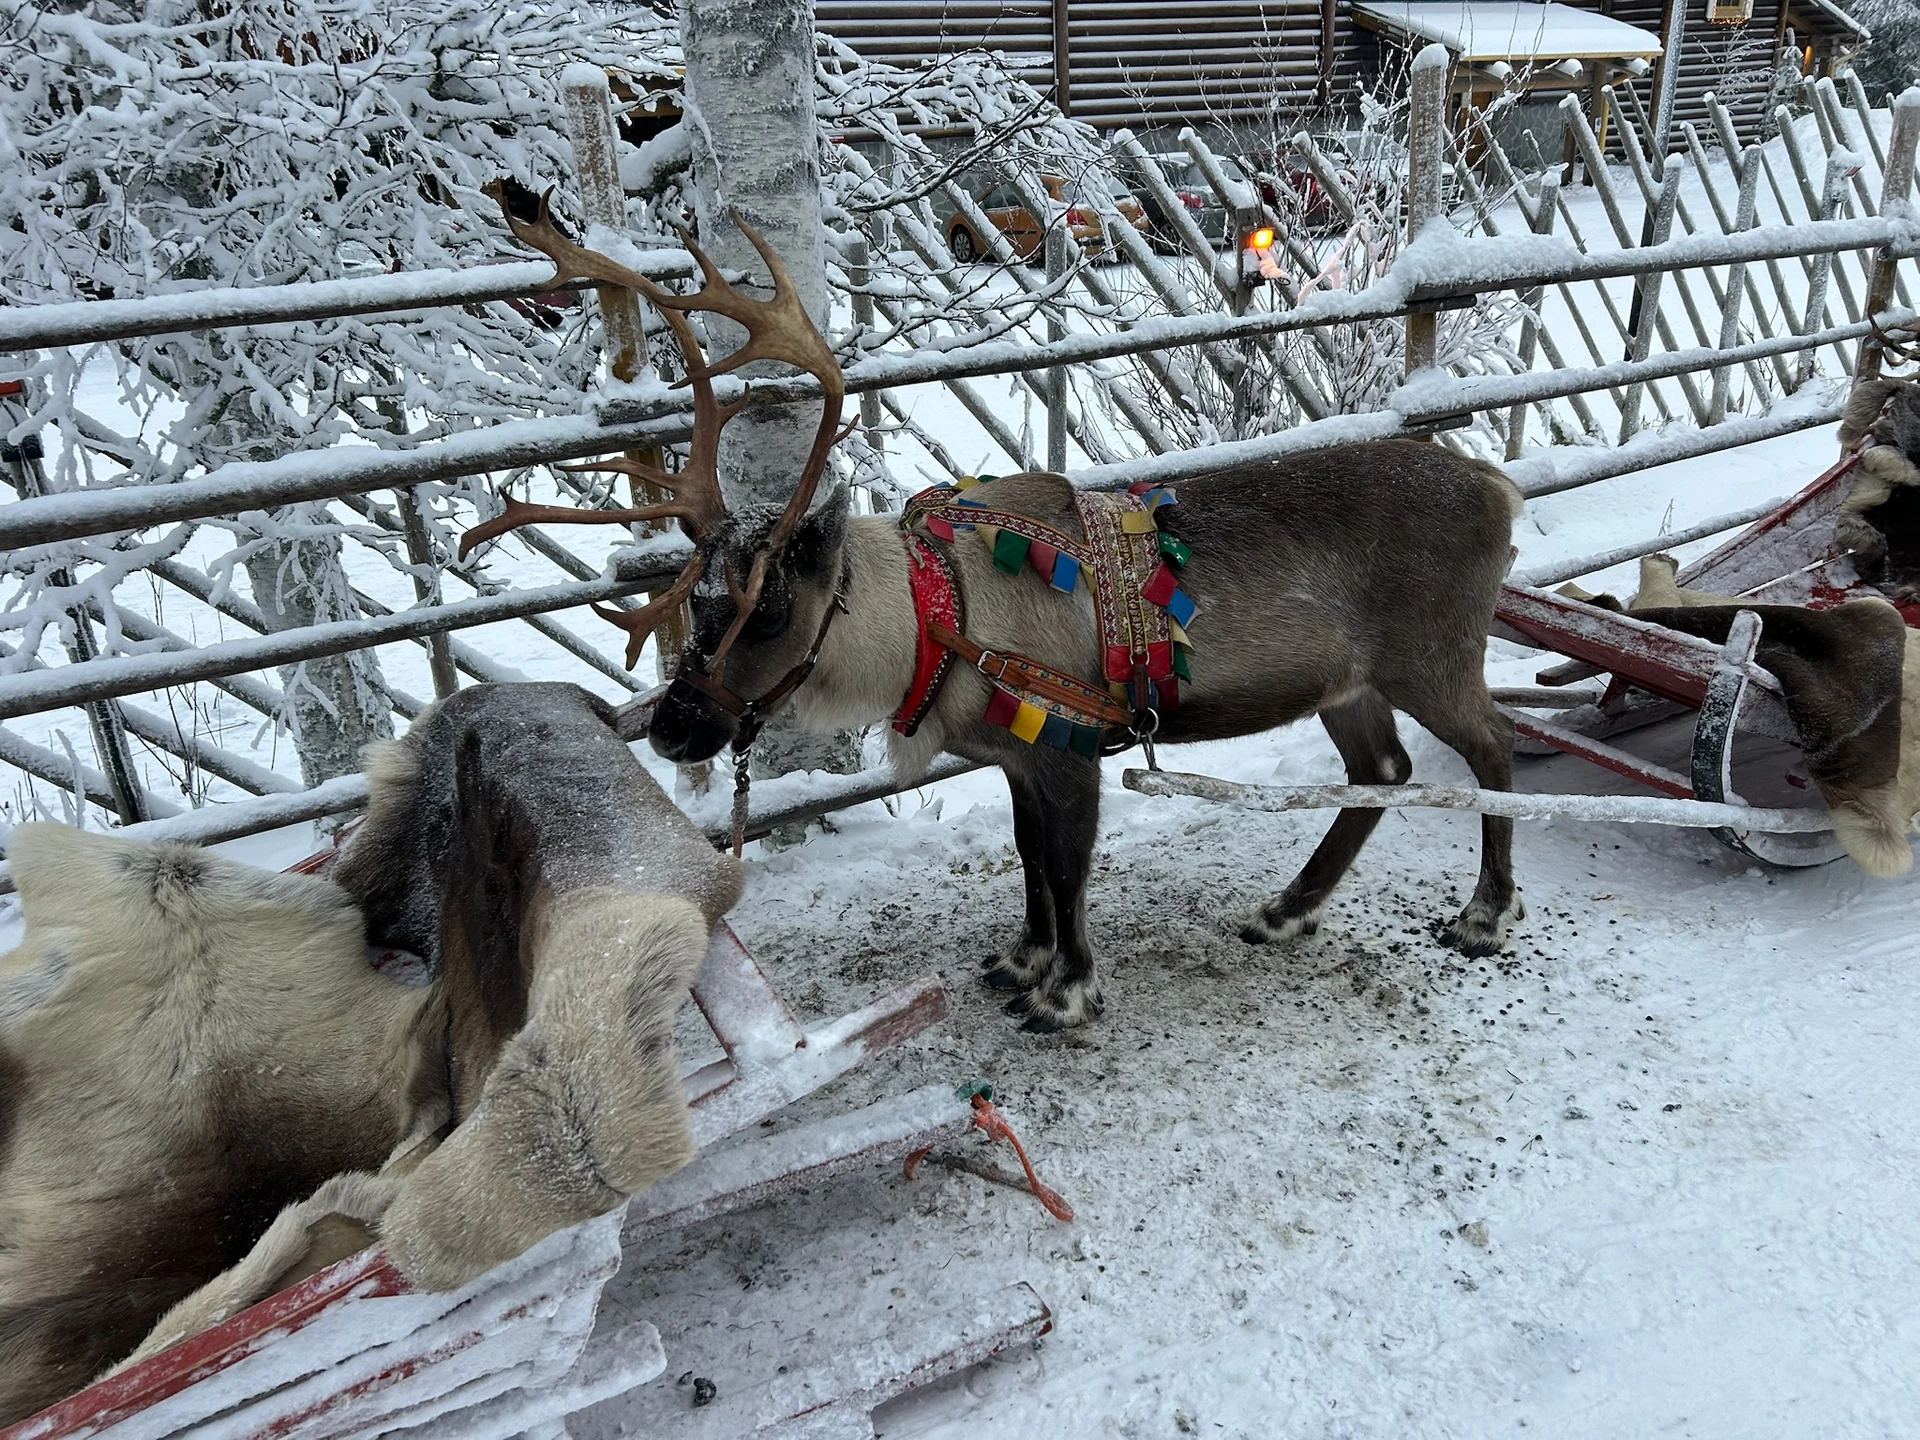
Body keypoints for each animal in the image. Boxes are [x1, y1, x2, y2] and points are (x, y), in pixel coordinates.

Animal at [463, 197, 1528, 1033]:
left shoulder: (1068, 748)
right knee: (1381, 771)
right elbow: (1028, 861)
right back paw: (1287, 908)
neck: (934, 619)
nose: (675, 727)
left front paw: (1066, 992)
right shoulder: (1014, 758)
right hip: (1347, 682)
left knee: (1491, 751)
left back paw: (1482, 914)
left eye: (766, 612)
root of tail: (1498, 488)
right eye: (704, 596)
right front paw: (1024, 958)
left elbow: (1068, 867)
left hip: (1434, 656)